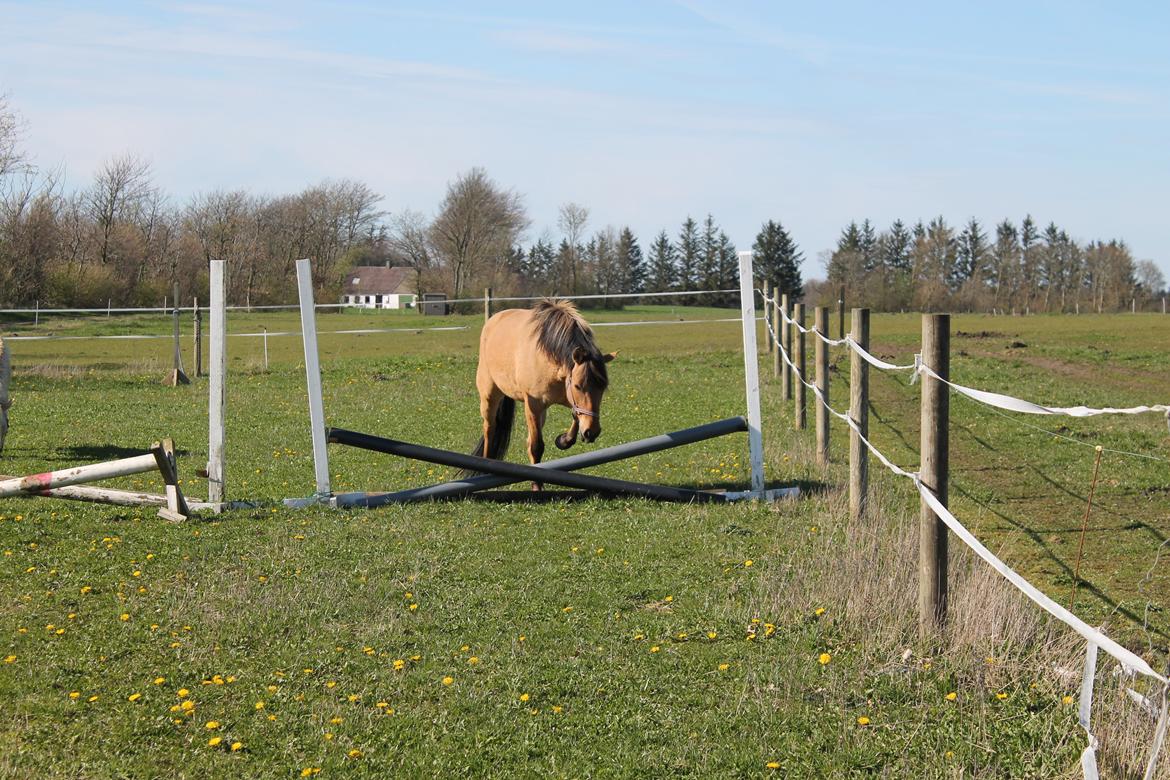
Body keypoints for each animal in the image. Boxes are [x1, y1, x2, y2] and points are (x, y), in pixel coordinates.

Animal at [475, 299, 622, 488]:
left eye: (602, 388)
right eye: (578, 386)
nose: (592, 431)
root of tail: (493, 321)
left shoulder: (567, 400)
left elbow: (575, 416)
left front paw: (564, 440)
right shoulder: (533, 405)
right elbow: (536, 446)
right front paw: (537, 485)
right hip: (489, 395)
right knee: (489, 428)